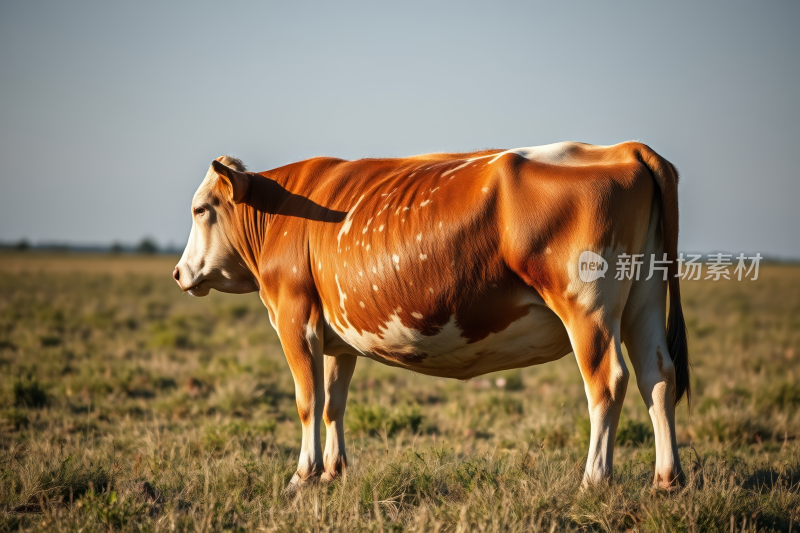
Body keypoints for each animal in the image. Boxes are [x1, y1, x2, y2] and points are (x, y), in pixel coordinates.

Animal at [173, 142, 688, 490]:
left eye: (200, 210)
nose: (178, 273)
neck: (284, 209)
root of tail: (620, 148)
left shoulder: (294, 316)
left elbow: (307, 400)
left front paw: (302, 476)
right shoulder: (338, 336)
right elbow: (333, 403)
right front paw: (335, 473)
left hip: (588, 309)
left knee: (607, 382)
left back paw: (594, 480)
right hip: (642, 300)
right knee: (657, 377)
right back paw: (667, 478)